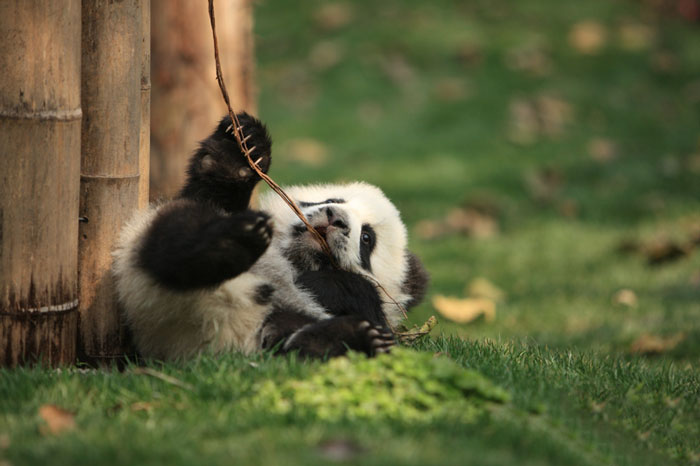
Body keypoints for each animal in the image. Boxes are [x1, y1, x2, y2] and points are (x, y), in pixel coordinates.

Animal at [112, 113, 429, 360]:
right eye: (333, 199)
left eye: (367, 238)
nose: (334, 218)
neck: (294, 259)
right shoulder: (218, 205)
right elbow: (211, 193)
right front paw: (240, 151)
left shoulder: (373, 304)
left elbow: (355, 295)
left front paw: (328, 285)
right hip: (153, 230)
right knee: (177, 234)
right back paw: (229, 245)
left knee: (289, 344)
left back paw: (350, 338)